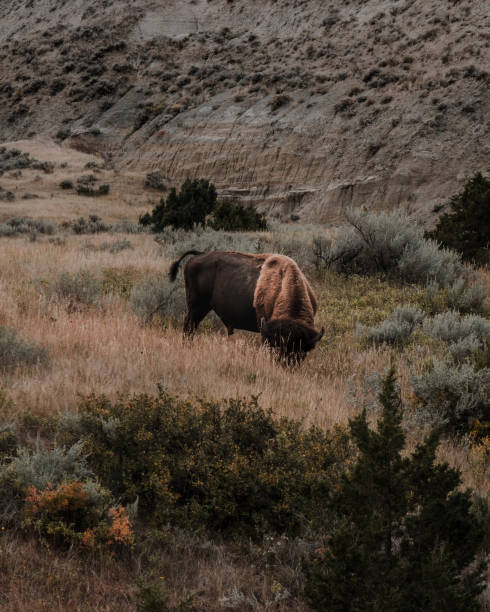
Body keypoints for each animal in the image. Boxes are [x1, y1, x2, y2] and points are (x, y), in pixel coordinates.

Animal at [169, 250, 326, 364]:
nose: (287, 365)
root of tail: (198, 256)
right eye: (279, 347)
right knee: (189, 328)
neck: (283, 285)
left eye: (301, 351)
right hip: (196, 307)